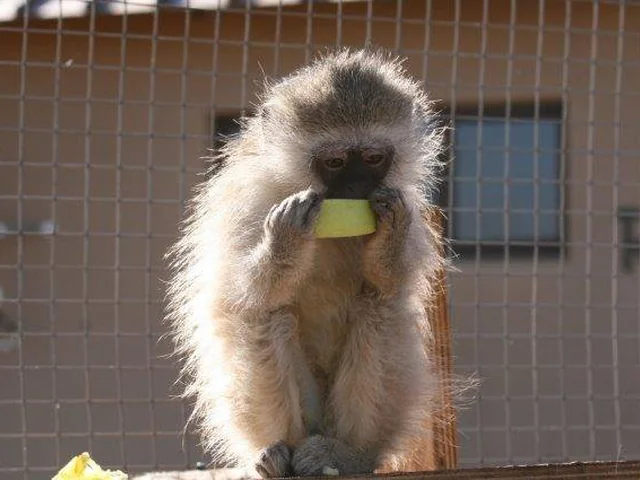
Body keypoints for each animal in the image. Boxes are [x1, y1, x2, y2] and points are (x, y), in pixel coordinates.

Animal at [144, 48, 451, 480]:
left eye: (373, 158)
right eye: (336, 162)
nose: (357, 188)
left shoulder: (409, 205)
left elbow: (390, 281)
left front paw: (389, 242)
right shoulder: (251, 198)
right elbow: (243, 291)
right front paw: (284, 242)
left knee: (380, 306)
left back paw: (348, 453)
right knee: (262, 314)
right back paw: (279, 452)